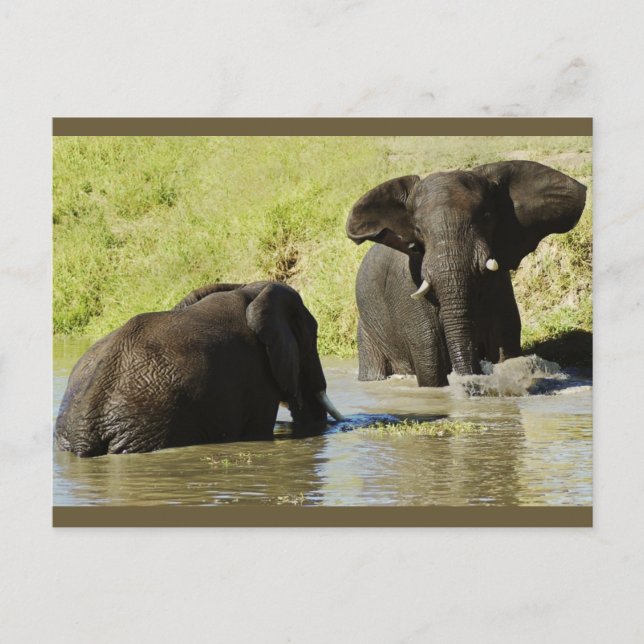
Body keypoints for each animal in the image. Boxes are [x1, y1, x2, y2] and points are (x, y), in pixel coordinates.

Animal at [346, 160, 587, 387]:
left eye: (487, 216)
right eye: (418, 231)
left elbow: (504, 344)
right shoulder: (407, 288)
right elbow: (430, 361)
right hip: (368, 332)